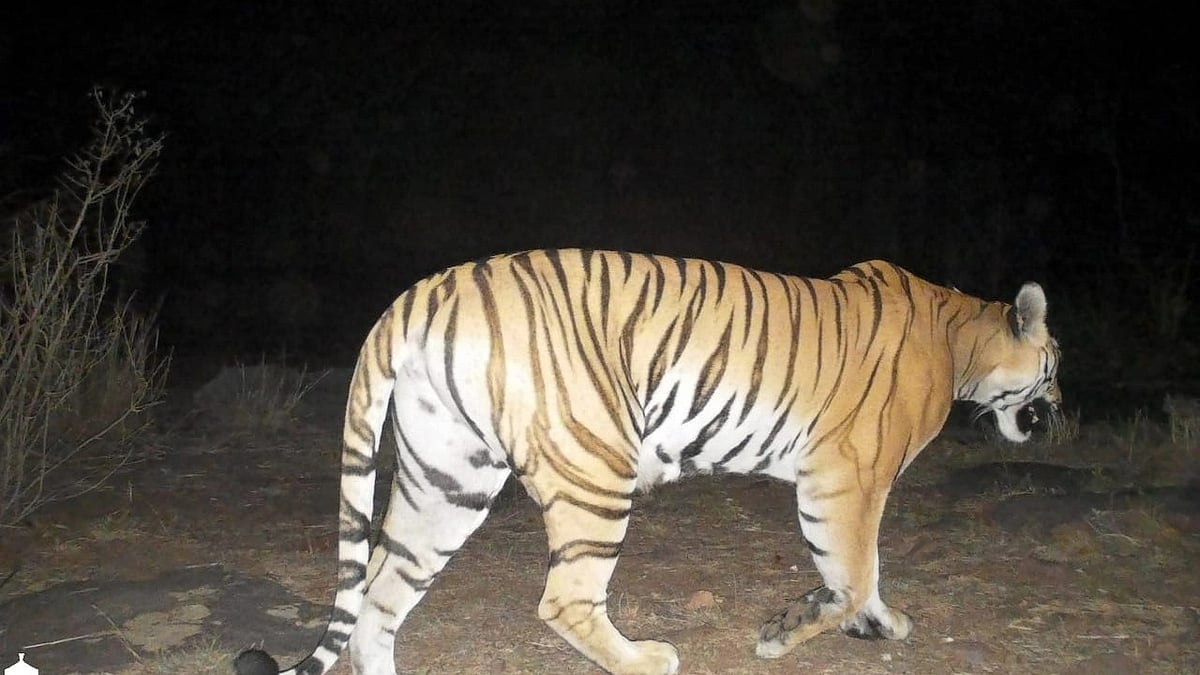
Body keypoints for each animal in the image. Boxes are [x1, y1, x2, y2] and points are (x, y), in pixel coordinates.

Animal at [234, 249, 1062, 675]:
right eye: (1053, 364)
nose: (1056, 410)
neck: (962, 338)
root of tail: (415, 296)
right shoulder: (846, 474)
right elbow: (855, 571)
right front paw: (795, 627)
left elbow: (863, 576)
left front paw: (876, 622)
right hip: (595, 465)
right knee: (564, 598)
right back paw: (646, 658)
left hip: (447, 480)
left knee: (378, 598)